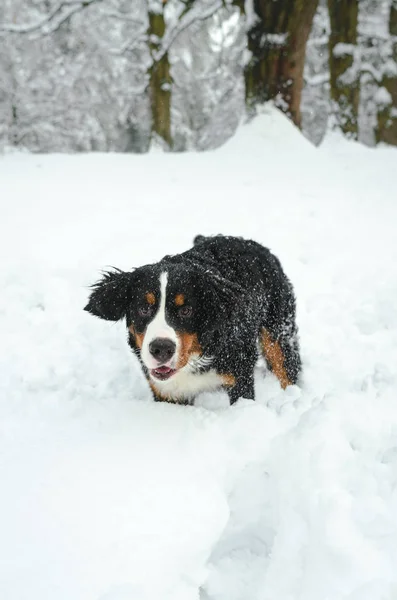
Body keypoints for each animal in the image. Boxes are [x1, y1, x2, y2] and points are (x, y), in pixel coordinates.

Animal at [84, 234, 300, 404]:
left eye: (186, 310)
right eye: (144, 308)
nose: (161, 348)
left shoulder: (240, 373)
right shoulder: (166, 392)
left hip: (278, 332)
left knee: (286, 368)